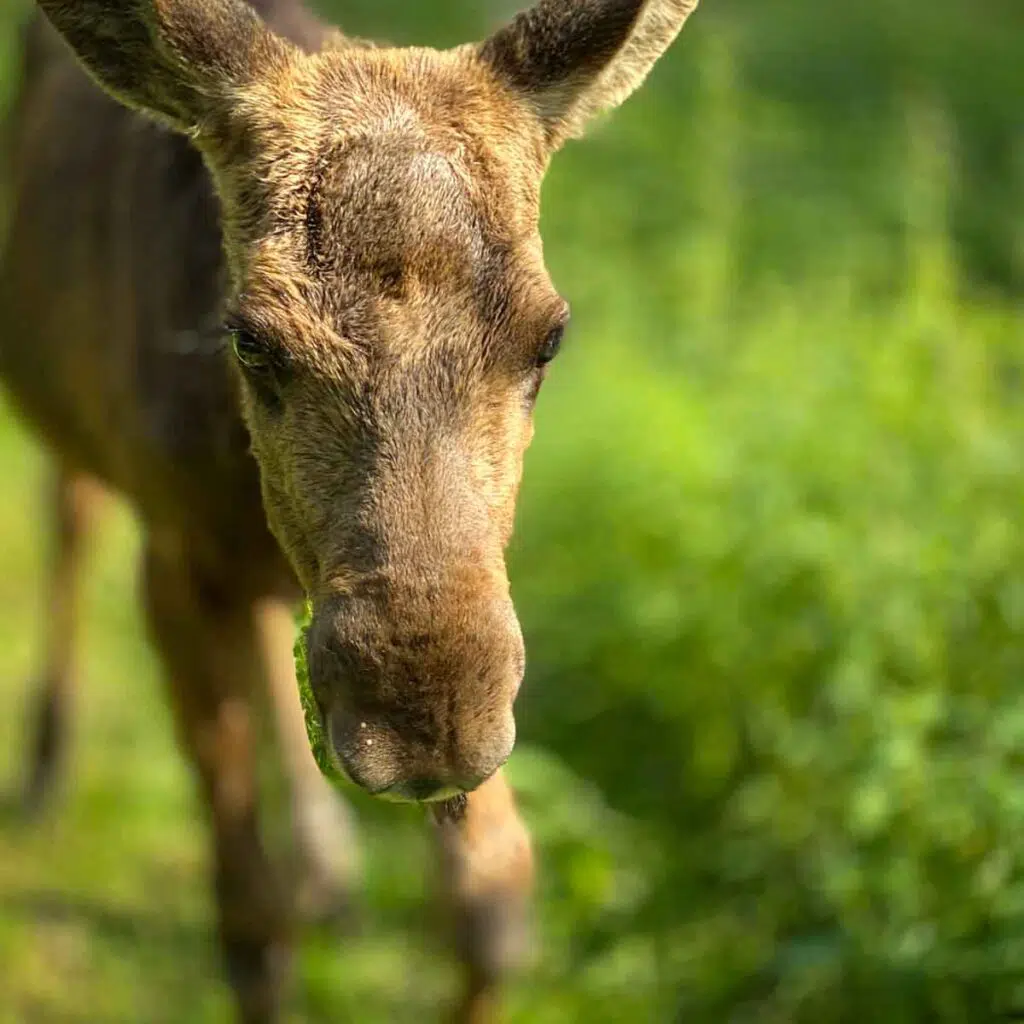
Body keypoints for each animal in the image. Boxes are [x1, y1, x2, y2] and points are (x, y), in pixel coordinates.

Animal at [0, 0, 696, 1019]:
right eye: (251, 338)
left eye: (551, 337)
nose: (425, 721)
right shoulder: (175, 553)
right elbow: (250, 928)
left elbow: (496, 904)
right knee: (72, 508)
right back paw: (46, 765)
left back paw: (330, 869)